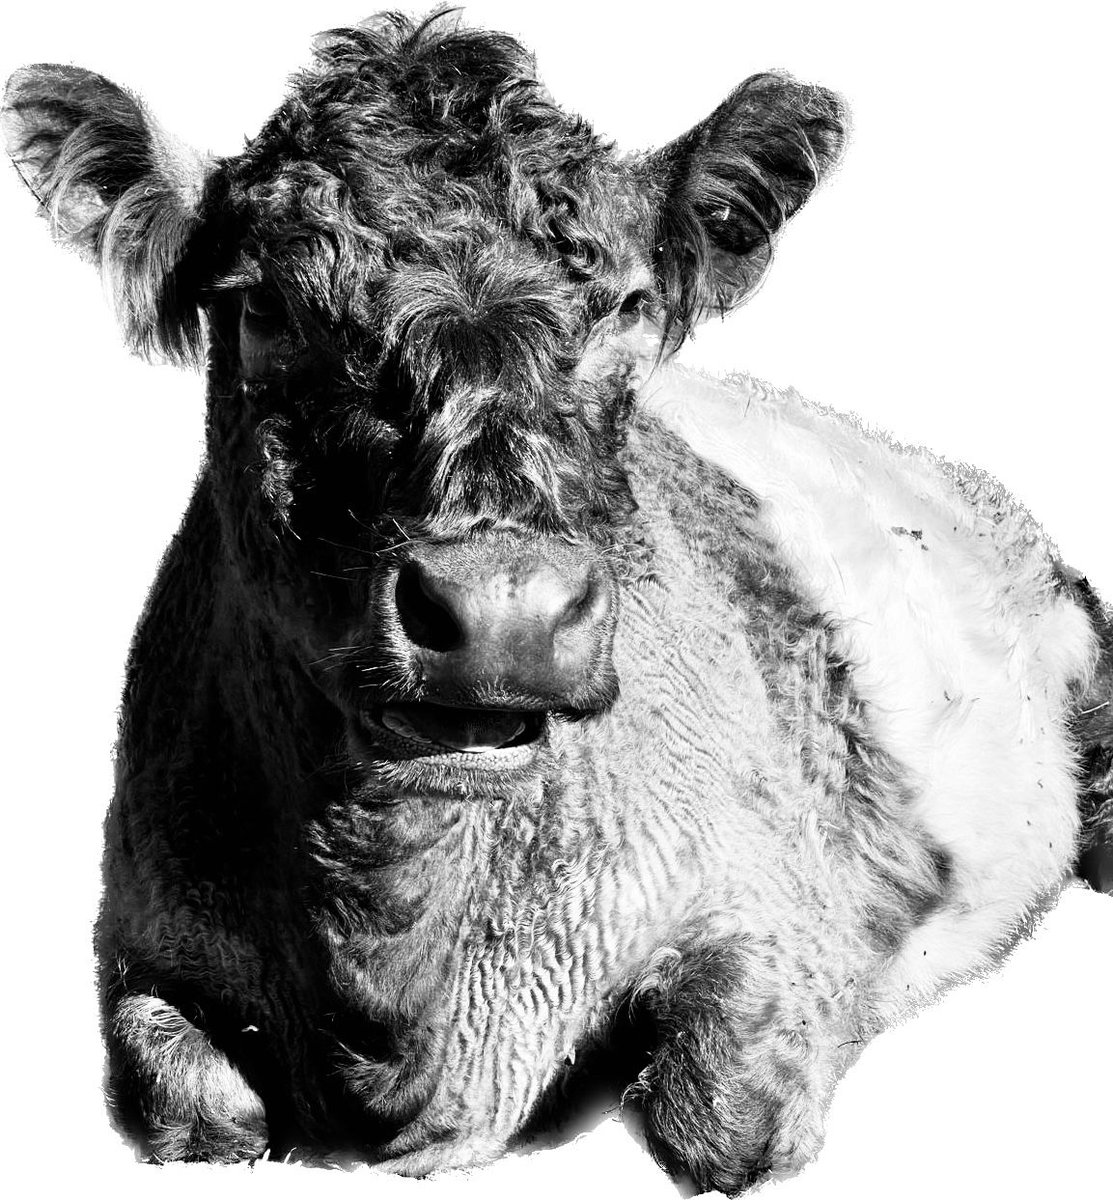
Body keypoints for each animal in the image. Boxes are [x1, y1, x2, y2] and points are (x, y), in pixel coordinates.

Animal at [3, 9, 1110, 1194]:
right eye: (262, 308)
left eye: (629, 306)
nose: (504, 612)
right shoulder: (140, 948)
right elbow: (190, 1105)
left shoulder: (781, 916)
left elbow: (717, 1107)